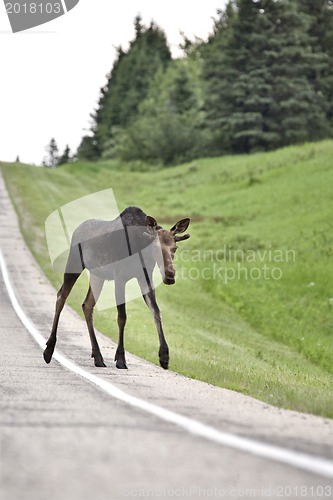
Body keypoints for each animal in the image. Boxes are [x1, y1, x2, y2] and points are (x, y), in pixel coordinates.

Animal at [42, 205, 191, 370]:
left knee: (87, 305)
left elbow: (156, 311)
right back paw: (49, 350)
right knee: (61, 296)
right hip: (74, 263)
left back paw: (98, 356)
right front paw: (120, 358)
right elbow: (122, 317)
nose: (170, 275)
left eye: (175, 248)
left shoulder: (145, 277)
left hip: (97, 275)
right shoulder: (119, 278)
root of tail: (77, 229)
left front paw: (164, 355)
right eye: (156, 247)